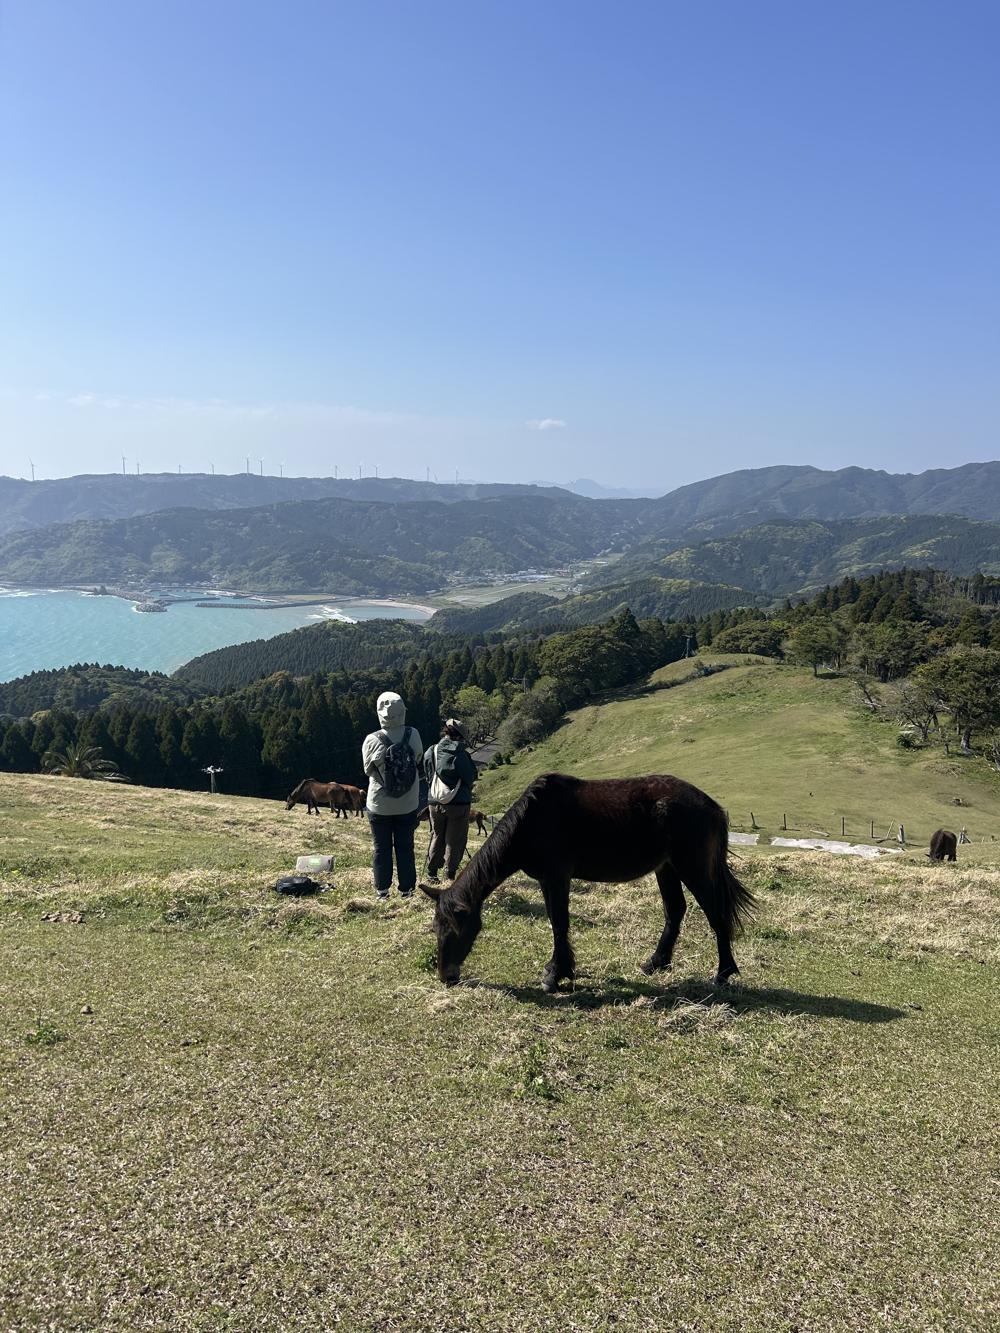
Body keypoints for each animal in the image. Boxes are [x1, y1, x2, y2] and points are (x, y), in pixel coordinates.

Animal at [421, 773, 755, 992]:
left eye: (455, 930)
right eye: (435, 929)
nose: (446, 977)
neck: (532, 821)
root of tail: (712, 806)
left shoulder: (557, 878)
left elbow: (559, 923)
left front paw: (555, 975)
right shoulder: (546, 880)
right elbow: (556, 922)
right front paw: (560, 969)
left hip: (692, 868)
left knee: (716, 913)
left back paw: (723, 973)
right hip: (667, 868)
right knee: (675, 910)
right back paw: (655, 963)